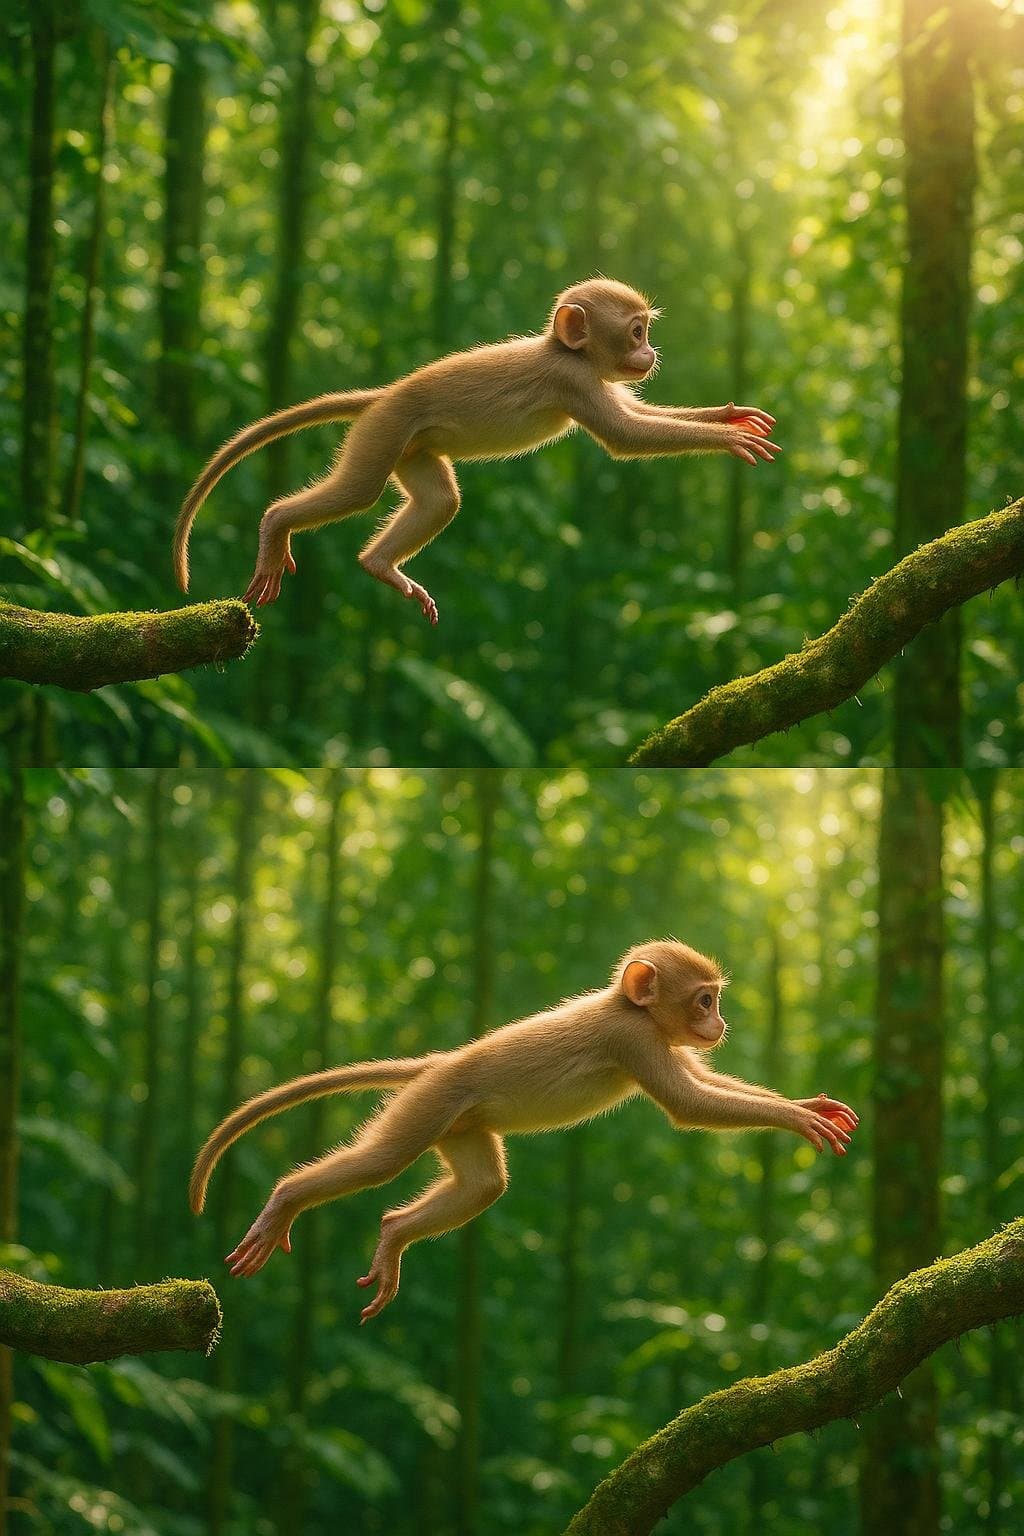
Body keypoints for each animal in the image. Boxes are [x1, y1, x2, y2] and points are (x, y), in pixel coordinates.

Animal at [172, 278, 780, 624]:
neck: (568, 351)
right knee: (359, 490)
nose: (650, 353)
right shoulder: (572, 381)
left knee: (441, 500)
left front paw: (728, 415)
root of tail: (385, 395)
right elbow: (625, 436)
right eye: (635, 332)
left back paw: (379, 566)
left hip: (411, 448)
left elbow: (640, 416)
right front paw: (728, 438)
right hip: (382, 434)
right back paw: (278, 525)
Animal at [190, 940, 856, 1323]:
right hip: (429, 1104)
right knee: (383, 1160)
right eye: (703, 1001)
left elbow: (704, 1082)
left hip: (459, 1123)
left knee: (483, 1185)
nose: (719, 1023)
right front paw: (797, 1118)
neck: (631, 1008)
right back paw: (286, 1201)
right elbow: (688, 1105)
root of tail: (441, 1062)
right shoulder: (634, 1040)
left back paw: (394, 1235)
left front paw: (808, 1104)